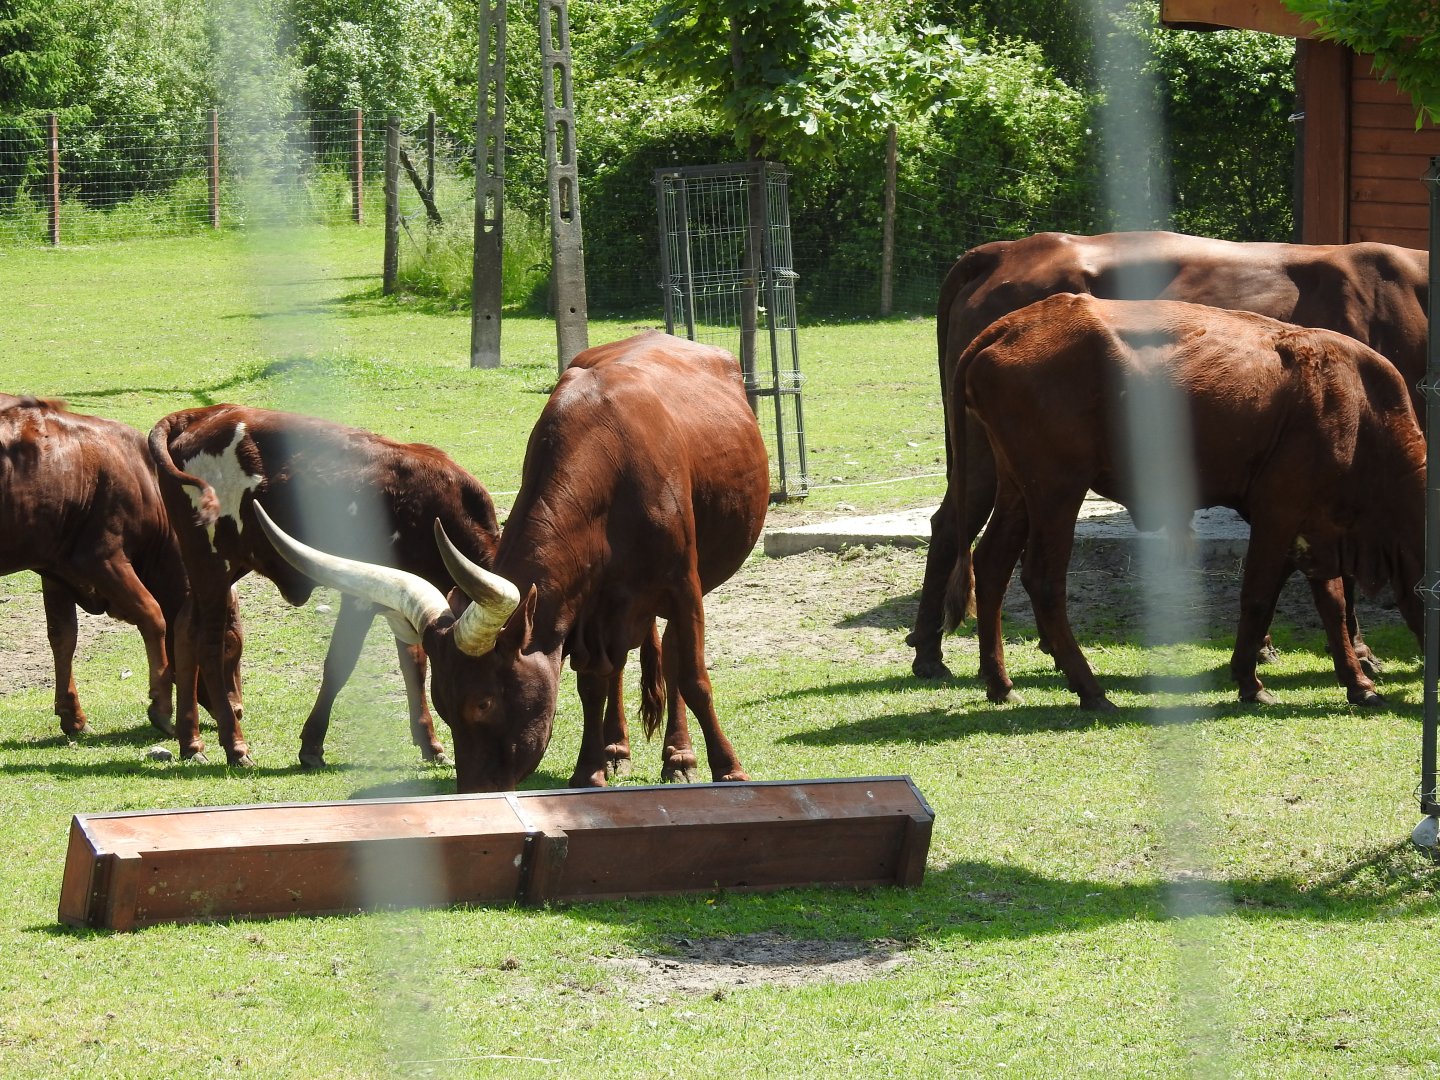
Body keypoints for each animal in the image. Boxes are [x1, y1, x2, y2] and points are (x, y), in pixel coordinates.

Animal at [0, 395, 239, 738]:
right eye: (230, 644)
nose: (237, 709)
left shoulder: (56, 568)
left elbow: (63, 635)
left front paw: (72, 715)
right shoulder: (102, 558)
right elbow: (153, 616)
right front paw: (161, 706)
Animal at [147, 405, 501, 769]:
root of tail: (202, 413)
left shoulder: (404, 599)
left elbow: (413, 664)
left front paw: (430, 744)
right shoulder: (362, 595)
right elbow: (340, 664)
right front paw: (312, 745)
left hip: (220, 567)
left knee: (185, 629)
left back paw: (191, 742)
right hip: (213, 563)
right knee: (209, 646)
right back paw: (235, 746)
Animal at [250, 331, 770, 793]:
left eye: (483, 703)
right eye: (442, 705)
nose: (474, 792)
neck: (610, 469)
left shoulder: (682, 586)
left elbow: (693, 676)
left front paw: (728, 770)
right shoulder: (583, 608)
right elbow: (592, 683)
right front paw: (590, 771)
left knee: (675, 659)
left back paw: (678, 756)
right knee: (621, 664)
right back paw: (617, 749)